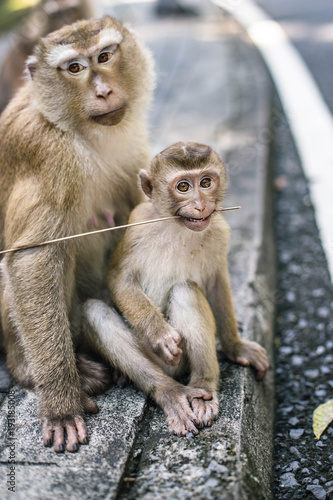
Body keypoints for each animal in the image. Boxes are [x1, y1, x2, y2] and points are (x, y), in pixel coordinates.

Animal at [0, 15, 154, 454]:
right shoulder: (48, 154)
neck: (77, 129)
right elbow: (34, 257)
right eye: (74, 68)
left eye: (104, 56)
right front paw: (60, 401)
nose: (103, 91)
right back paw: (39, 368)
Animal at [87, 141, 268, 434]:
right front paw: (160, 335)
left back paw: (204, 387)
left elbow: (217, 283)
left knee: (186, 291)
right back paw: (169, 392)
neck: (177, 226)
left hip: (182, 361)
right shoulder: (137, 223)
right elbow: (119, 278)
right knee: (94, 312)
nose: (200, 204)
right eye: (183, 187)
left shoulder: (219, 230)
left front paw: (236, 347)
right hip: (155, 357)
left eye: (205, 182)